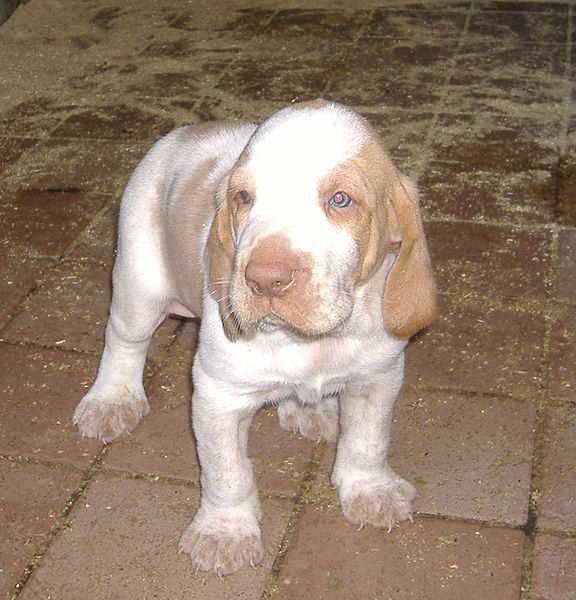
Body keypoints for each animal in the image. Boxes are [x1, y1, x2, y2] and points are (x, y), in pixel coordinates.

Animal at [74, 99, 438, 576]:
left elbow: (368, 441)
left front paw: (370, 490)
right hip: (138, 286)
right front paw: (225, 533)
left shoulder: (378, 377)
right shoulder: (218, 396)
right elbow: (227, 471)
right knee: (123, 343)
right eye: (244, 199)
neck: (308, 342)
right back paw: (111, 401)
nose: (264, 279)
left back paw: (310, 410)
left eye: (340, 199)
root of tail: (187, 131)